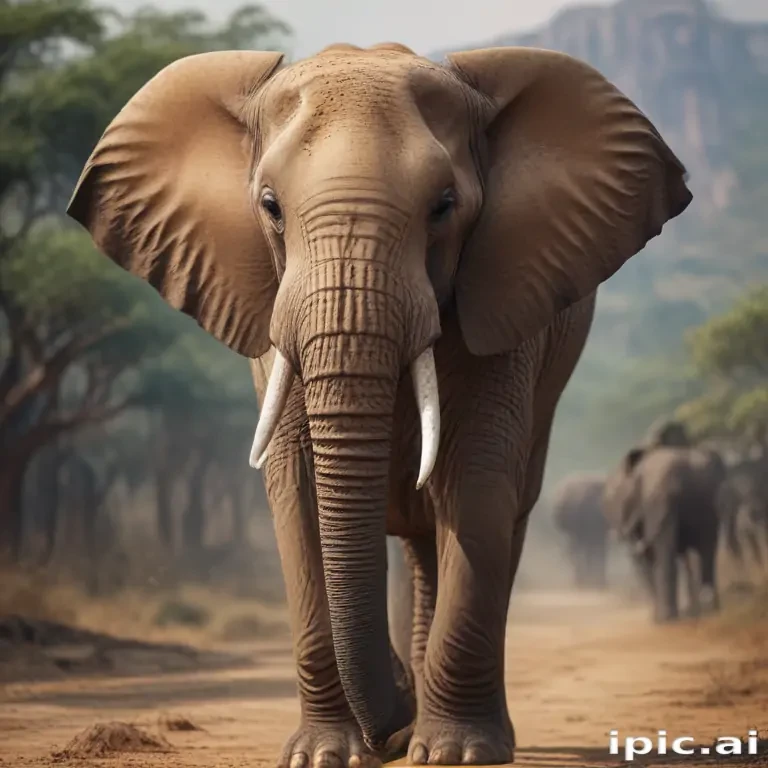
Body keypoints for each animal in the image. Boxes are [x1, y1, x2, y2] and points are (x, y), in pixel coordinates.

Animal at [66, 42, 691, 767]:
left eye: (444, 206)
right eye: (270, 206)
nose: (386, 728)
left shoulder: (503, 299)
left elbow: (477, 482)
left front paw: (452, 752)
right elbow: (296, 489)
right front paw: (324, 754)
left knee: (497, 516)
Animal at [603, 441, 725, 623]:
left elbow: (651, 559)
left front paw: (659, 619)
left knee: (691, 552)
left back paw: (677, 615)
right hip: (706, 500)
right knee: (707, 549)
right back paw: (706, 609)